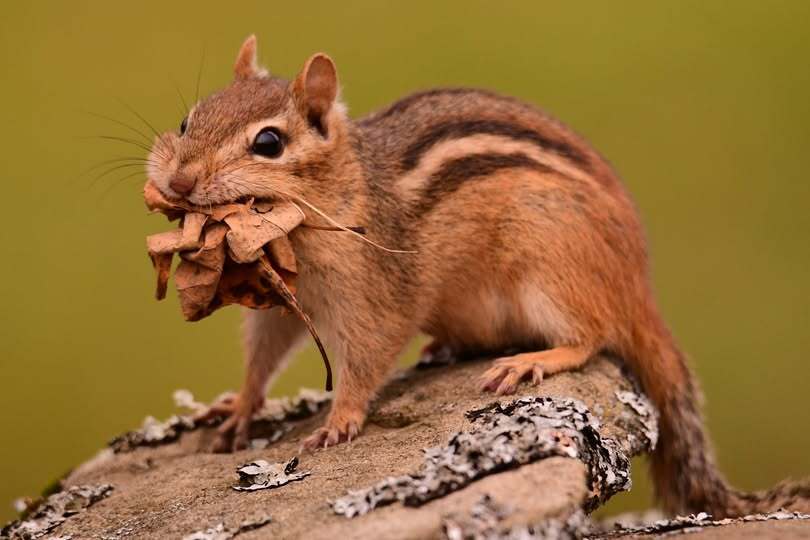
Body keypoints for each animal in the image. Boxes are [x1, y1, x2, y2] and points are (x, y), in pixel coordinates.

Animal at [145, 35, 809, 517]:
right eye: (186, 120)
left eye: (269, 143)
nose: (179, 182)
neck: (338, 198)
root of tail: (638, 285)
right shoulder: (288, 294)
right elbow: (262, 355)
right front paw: (237, 410)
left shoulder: (375, 293)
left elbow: (366, 355)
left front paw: (338, 422)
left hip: (551, 268)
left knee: (594, 336)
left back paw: (532, 360)